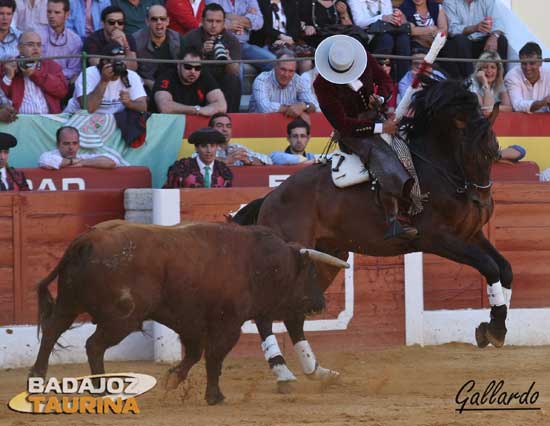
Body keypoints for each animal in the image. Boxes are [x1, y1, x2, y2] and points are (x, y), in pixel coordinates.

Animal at [29, 221, 350, 404]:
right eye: (310, 272)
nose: (320, 303)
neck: (261, 262)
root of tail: (86, 241)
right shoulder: (228, 323)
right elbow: (214, 357)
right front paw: (214, 396)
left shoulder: (189, 320)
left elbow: (195, 353)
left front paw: (173, 379)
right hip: (122, 318)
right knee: (93, 345)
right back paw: (103, 390)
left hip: (69, 303)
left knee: (53, 330)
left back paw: (38, 376)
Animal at [231, 77, 512, 392]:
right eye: (477, 153)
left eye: (496, 152)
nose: (483, 204)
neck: (435, 166)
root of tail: (270, 198)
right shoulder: (439, 239)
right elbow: (489, 267)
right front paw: (494, 330)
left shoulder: (471, 234)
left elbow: (505, 269)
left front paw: (495, 325)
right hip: (287, 262)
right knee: (266, 314)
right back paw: (283, 372)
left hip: (325, 259)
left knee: (294, 314)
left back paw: (318, 371)